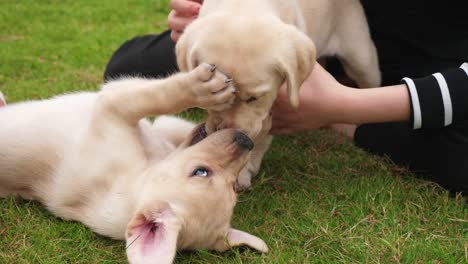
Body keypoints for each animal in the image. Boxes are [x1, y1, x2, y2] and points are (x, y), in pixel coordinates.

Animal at [0, 64, 268, 264]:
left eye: (231, 187)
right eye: (201, 172)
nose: (245, 140)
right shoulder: (119, 106)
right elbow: (160, 99)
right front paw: (204, 90)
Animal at [176, 0, 380, 190]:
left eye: (254, 98)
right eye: (214, 96)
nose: (226, 133)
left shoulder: (266, 112)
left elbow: (260, 136)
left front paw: (243, 169)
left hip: (361, 58)